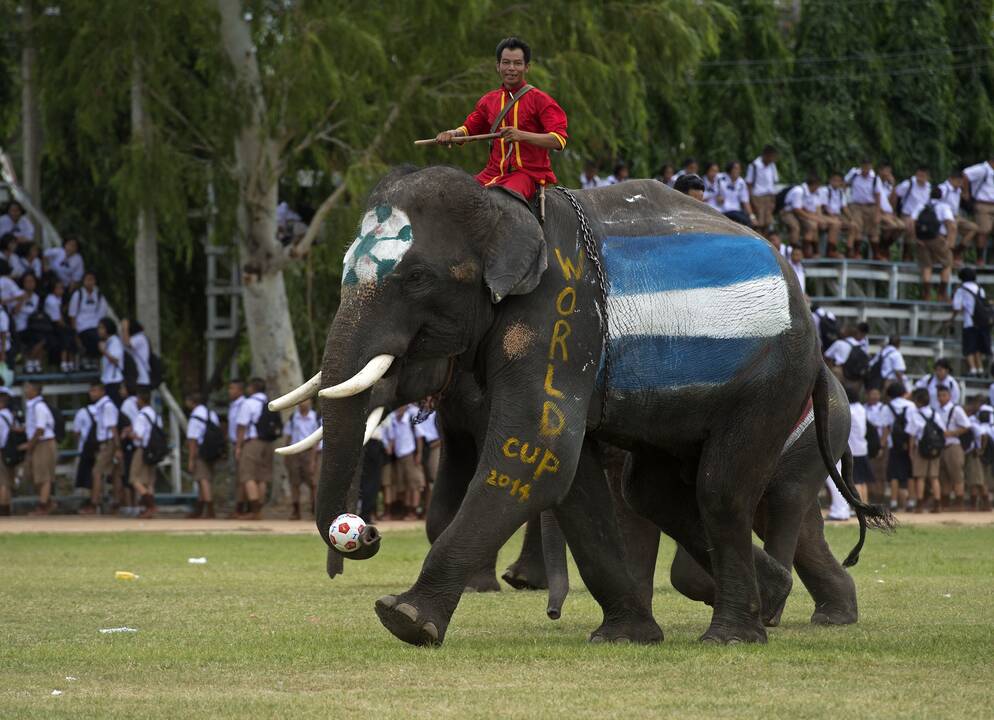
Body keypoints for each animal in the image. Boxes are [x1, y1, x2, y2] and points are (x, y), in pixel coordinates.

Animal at [290, 167, 888, 648]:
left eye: (416, 278)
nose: (363, 532)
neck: (504, 204)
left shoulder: (561, 311)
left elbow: (531, 454)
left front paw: (405, 619)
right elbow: (565, 476)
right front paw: (625, 638)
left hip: (773, 377)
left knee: (722, 492)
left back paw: (736, 634)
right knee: (655, 490)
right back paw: (776, 598)